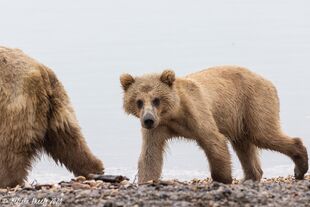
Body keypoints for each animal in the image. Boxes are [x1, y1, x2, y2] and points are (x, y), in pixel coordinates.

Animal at [0, 46, 104, 188]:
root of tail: (41, 71)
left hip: (14, 103)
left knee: (9, 148)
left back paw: (6, 181)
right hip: (57, 105)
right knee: (70, 140)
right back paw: (94, 169)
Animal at [120, 65, 308, 184]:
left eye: (156, 99)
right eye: (138, 101)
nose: (148, 119)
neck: (173, 114)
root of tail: (267, 80)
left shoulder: (196, 112)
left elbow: (213, 141)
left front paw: (222, 178)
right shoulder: (159, 128)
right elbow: (150, 155)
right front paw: (145, 180)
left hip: (255, 102)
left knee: (263, 134)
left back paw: (300, 167)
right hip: (239, 118)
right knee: (243, 145)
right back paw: (250, 177)